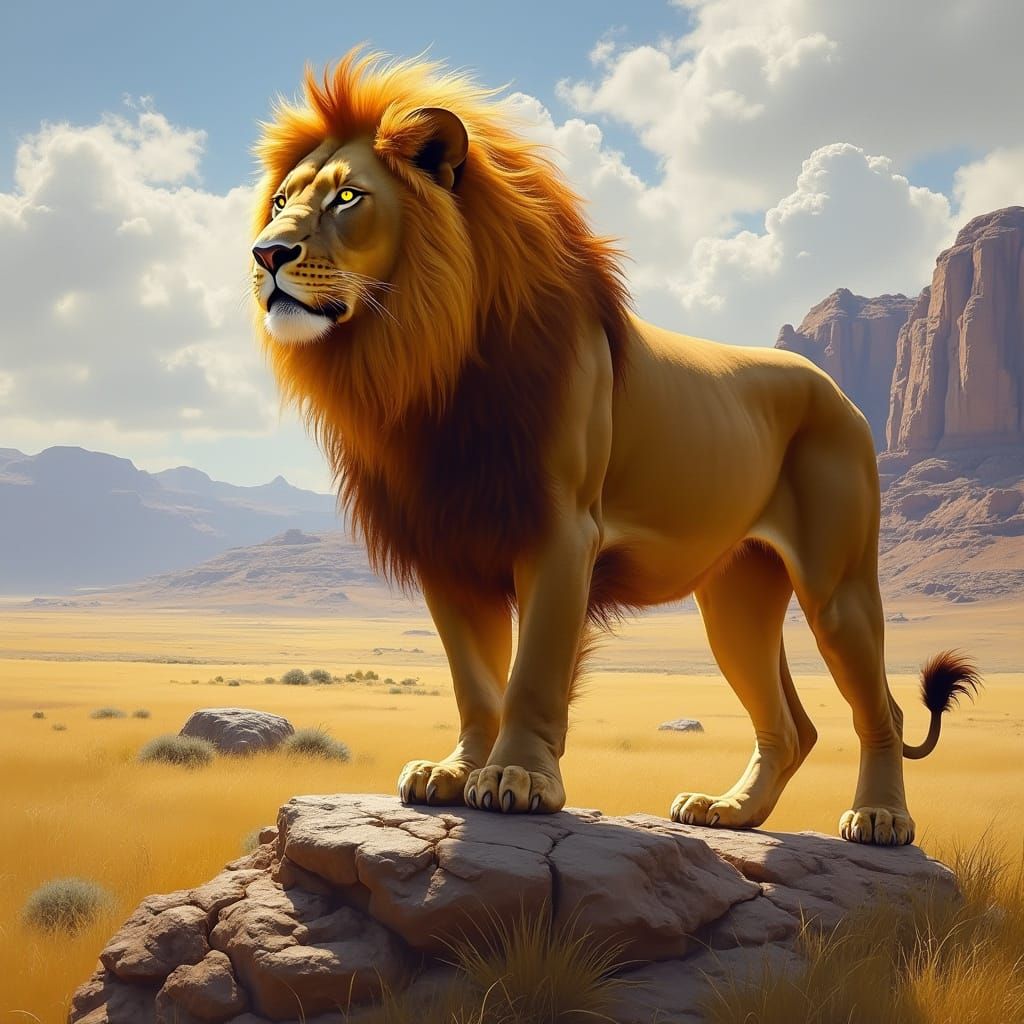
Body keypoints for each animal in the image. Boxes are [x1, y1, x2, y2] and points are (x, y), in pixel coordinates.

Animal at [249, 49, 980, 845]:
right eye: (281, 199)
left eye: (348, 197)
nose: (266, 252)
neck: (425, 360)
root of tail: (836, 389)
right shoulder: (446, 542)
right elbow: (475, 679)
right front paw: (453, 771)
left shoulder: (562, 529)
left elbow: (534, 670)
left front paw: (516, 778)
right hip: (737, 595)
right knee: (792, 726)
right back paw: (730, 811)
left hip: (836, 584)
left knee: (882, 709)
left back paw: (880, 817)